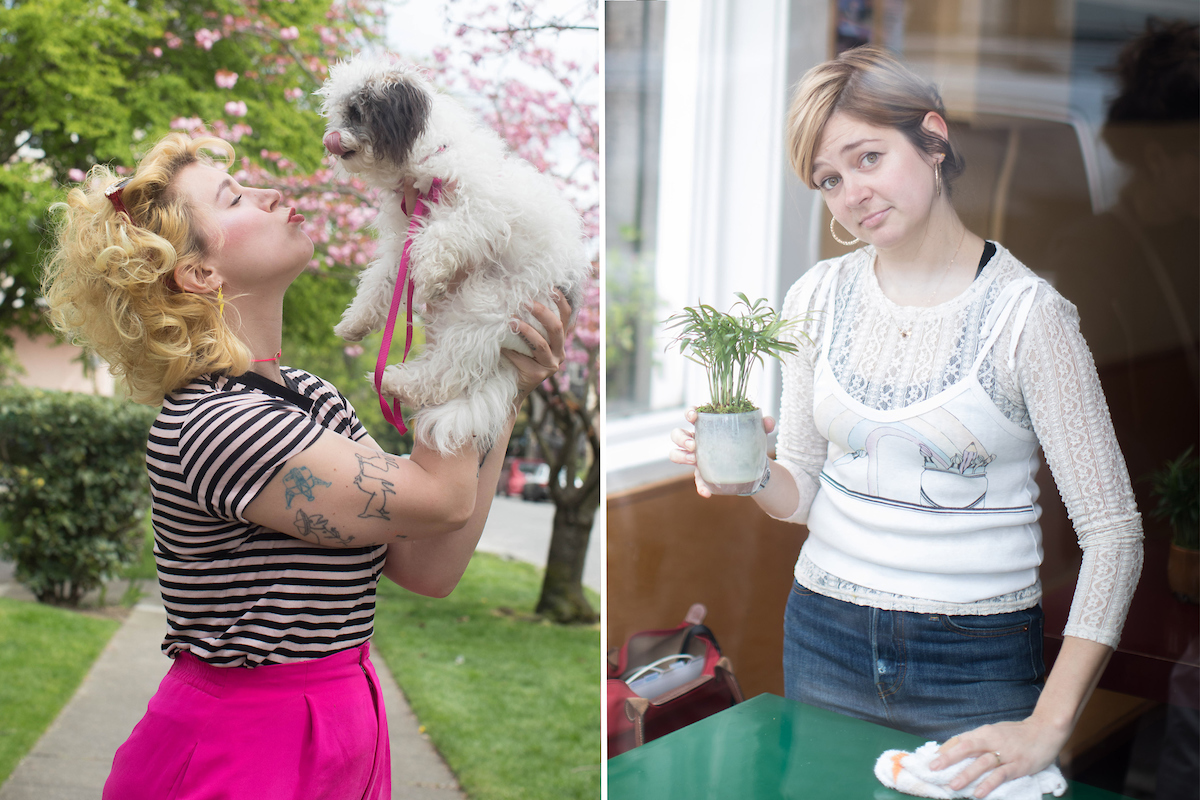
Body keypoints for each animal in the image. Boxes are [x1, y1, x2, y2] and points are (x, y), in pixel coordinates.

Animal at [314, 54, 585, 455]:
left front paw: (429, 273)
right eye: (337, 112)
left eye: (357, 112)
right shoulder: (402, 242)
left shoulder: (480, 213)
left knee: (449, 373)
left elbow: (442, 235)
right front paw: (355, 321)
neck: (427, 163)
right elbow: (379, 282)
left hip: (487, 309)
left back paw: (397, 383)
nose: (330, 139)